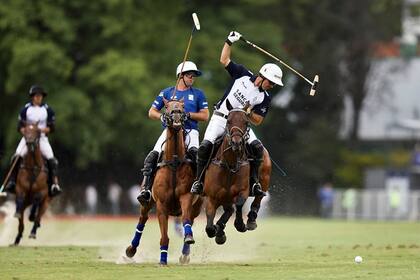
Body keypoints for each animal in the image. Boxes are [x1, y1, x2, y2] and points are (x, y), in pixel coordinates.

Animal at [124, 98, 203, 264]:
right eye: (166, 106)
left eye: (182, 106)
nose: (177, 113)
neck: (174, 162)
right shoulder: (161, 204)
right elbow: (164, 236)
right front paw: (162, 259)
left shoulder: (186, 197)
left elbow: (186, 220)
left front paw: (188, 238)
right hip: (147, 202)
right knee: (142, 220)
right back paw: (130, 250)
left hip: (197, 206)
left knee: (190, 220)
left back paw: (185, 254)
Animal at [203, 108, 272, 244]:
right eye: (228, 121)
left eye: (246, 122)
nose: (236, 143)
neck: (230, 164)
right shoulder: (211, 197)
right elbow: (209, 228)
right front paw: (218, 230)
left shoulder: (243, 190)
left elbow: (239, 204)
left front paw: (240, 224)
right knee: (229, 210)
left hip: (265, 177)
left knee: (258, 197)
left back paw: (251, 220)